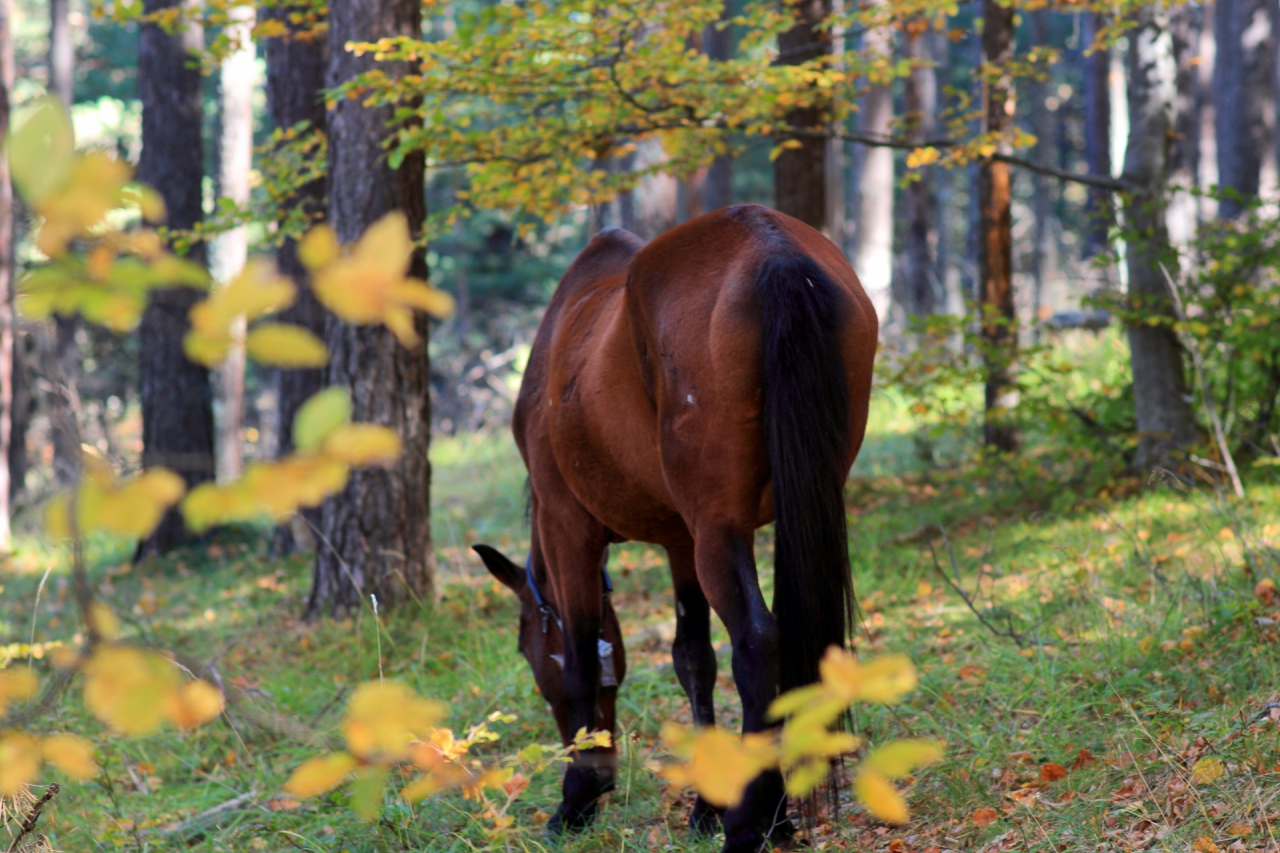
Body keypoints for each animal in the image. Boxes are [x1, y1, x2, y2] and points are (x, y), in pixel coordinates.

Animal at [471, 202, 880, 845]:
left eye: (526, 649)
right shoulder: (679, 541)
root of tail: (771, 247)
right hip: (797, 505)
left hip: (719, 528)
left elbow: (583, 658)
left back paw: (752, 822)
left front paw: (576, 797)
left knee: (757, 642)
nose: (598, 770)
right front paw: (703, 805)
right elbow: (692, 659)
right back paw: (774, 814)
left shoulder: (568, 528)